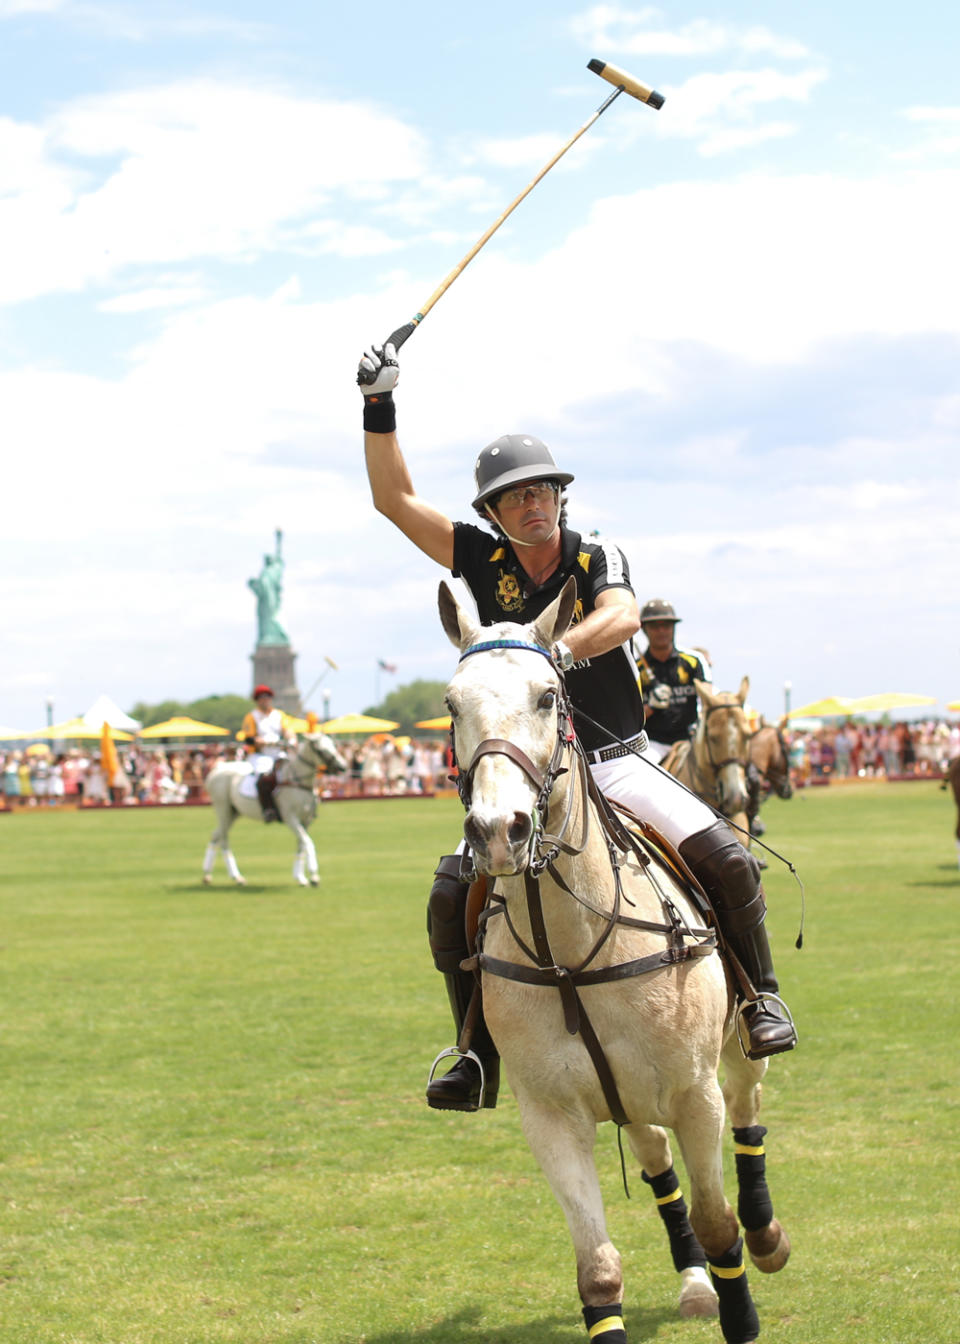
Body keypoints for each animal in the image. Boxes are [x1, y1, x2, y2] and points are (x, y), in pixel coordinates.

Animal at [201, 731, 346, 887]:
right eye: (320, 749)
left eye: (333, 744)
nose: (342, 766)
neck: (298, 781)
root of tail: (215, 771)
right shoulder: (290, 818)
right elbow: (307, 842)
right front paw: (313, 875)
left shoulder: (306, 820)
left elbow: (301, 844)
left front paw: (300, 877)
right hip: (223, 808)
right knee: (224, 839)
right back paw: (236, 877)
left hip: (234, 812)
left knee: (215, 836)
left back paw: (207, 875)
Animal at [438, 583, 779, 1344]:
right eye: (450, 703)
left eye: (547, 696)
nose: (496, 832)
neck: (570, 952)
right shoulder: (550, 1115)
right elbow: (597, 1268)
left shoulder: (694, 1095)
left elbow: (720, 1225)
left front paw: (741, 1294)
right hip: (625, 1099)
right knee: (657, 1164)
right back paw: (693, 1284)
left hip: (734, 1053)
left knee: (749, 1111)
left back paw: (768, 1234)